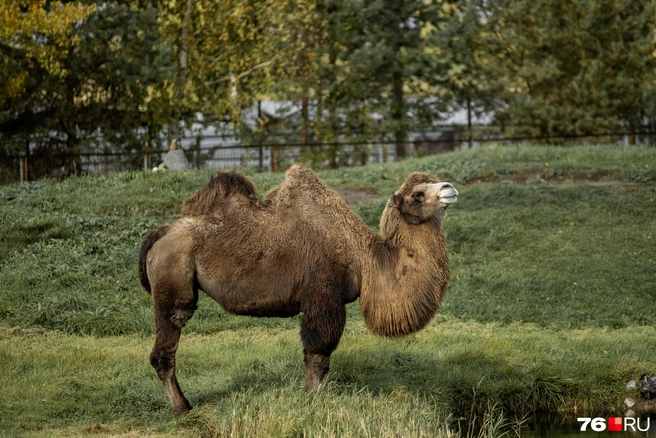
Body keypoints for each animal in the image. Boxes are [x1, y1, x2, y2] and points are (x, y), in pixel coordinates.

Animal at [139, 164, 458, 416]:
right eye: (417, 194)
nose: (450, 188)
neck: (364, 257)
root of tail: (160, 234)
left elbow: (314, 355)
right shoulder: (323, 295)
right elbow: (318, 355)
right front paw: (311, 402)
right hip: (172, 282)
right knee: (165, 348)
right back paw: (182, 409)